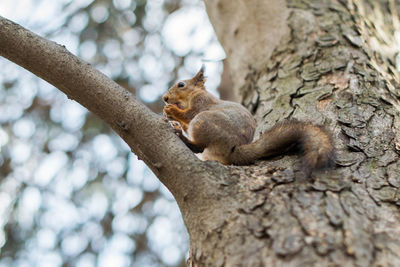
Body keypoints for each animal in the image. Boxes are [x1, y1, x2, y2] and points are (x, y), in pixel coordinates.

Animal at [162, 66, 334, 173]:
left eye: (181, 85)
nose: (164, 98)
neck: (188, 99)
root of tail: (232, 149)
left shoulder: (201, 103)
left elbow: (189, 114)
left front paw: (171, 111)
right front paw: (173, 119)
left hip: (203, 121)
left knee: (198, 147)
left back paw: (183, 137)